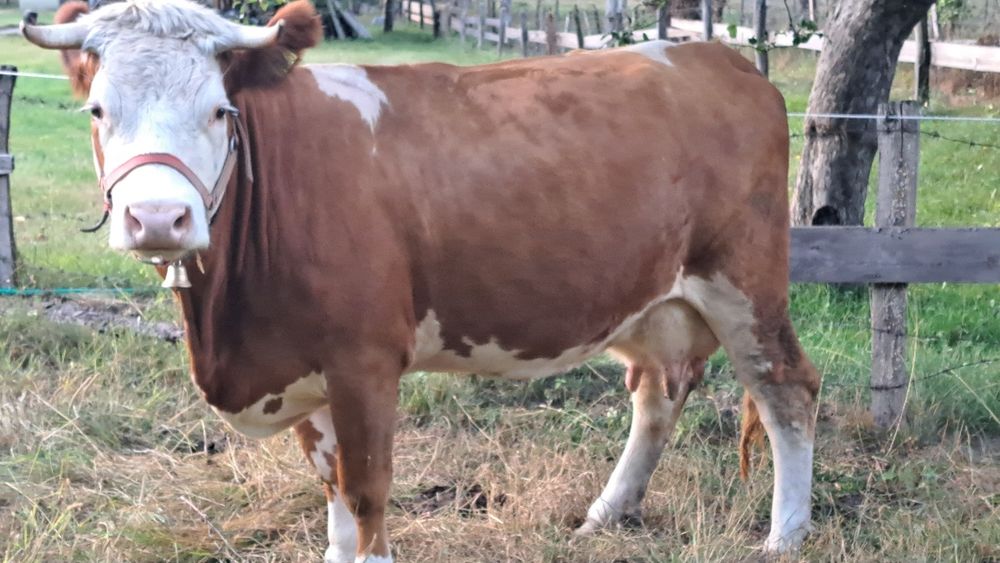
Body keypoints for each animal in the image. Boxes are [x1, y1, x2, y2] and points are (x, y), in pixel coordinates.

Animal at [22, 1, 822, 561]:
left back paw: (785, 535)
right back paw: (604, 514)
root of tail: (717, 56)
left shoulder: (365, 361)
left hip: (745, 282)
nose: (158, 217)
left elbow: (367, 494)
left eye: (219, 111)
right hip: (655, 301)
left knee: (787, 390)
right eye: (97, 109)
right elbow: (334, 491)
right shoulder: (306, 365)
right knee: (658, 394)